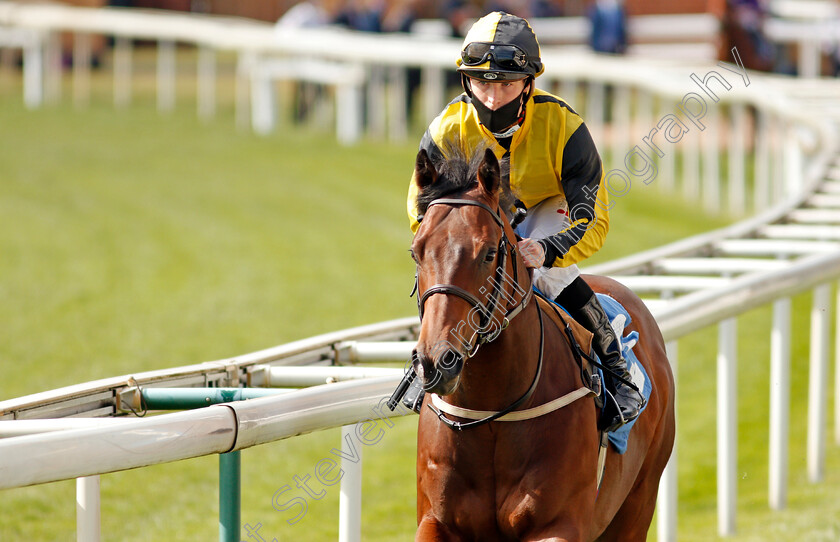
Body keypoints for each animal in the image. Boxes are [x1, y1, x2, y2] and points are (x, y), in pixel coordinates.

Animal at [406, 146, 676, 542]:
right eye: (416, 251)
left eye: (489, 253)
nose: (437, 361)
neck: (492, 410)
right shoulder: (434, 520)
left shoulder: (557, 524)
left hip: (637, 502)